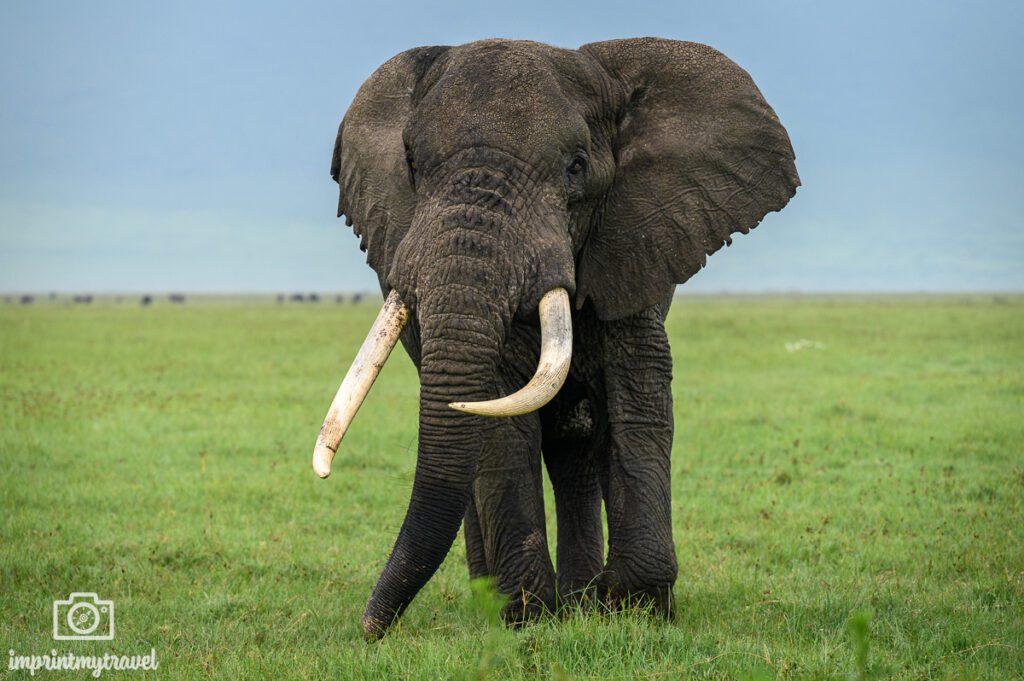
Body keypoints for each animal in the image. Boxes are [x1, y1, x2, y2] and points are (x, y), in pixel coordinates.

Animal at [312, 37, 799, 640]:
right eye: (412, 165)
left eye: (576, 166)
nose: (370, 627)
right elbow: (497, 419)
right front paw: (527, 617)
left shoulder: (635, 245)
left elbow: (639, 395)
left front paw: (636, 607)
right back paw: (512, 600)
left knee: (576, 446)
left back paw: (582, 599)